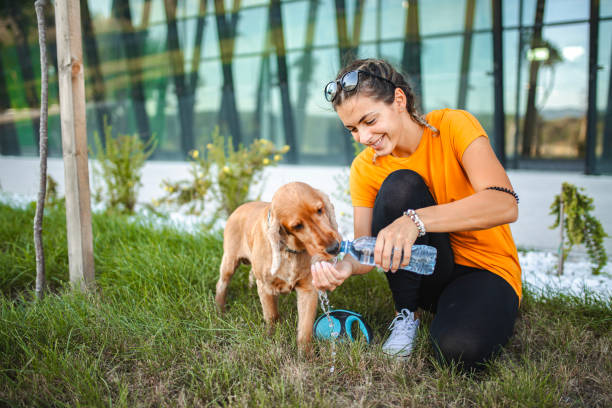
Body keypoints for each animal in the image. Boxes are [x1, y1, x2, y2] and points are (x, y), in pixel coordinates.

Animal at [215, 183, 342, 350]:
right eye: (297, 226)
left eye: (320, 210)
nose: (334, 248)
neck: (291, 251)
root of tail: (239, 207)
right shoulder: (266, 287)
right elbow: (272, 316)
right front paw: (271, 340)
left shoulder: (308, 289)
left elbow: (305, 329)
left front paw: (305, 354)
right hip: (229, 261)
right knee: (221, 284)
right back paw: (219, 310)